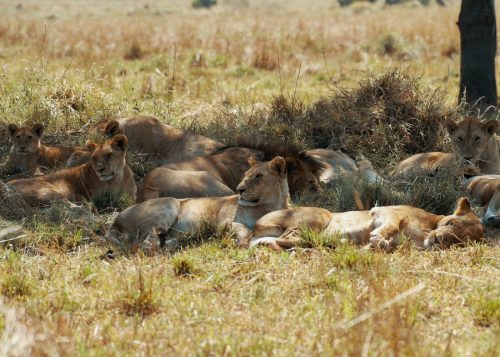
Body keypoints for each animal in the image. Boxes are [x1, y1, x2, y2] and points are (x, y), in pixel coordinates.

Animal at [4, 134, 137, 206]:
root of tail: (6, 186)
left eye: (108, 155)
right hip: (48, 190)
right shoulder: (102, 198)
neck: (119, 178)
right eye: (94, 157)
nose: (100, 169)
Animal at [107, 155, 292, 250]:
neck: (269, 206)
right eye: (246, 175)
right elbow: (245, 229)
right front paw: (242, 241)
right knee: (148, 243)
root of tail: (115, 221)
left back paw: (178, 241)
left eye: (258, 176)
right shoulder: (223, 223)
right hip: (171, 202)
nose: (239, 189)